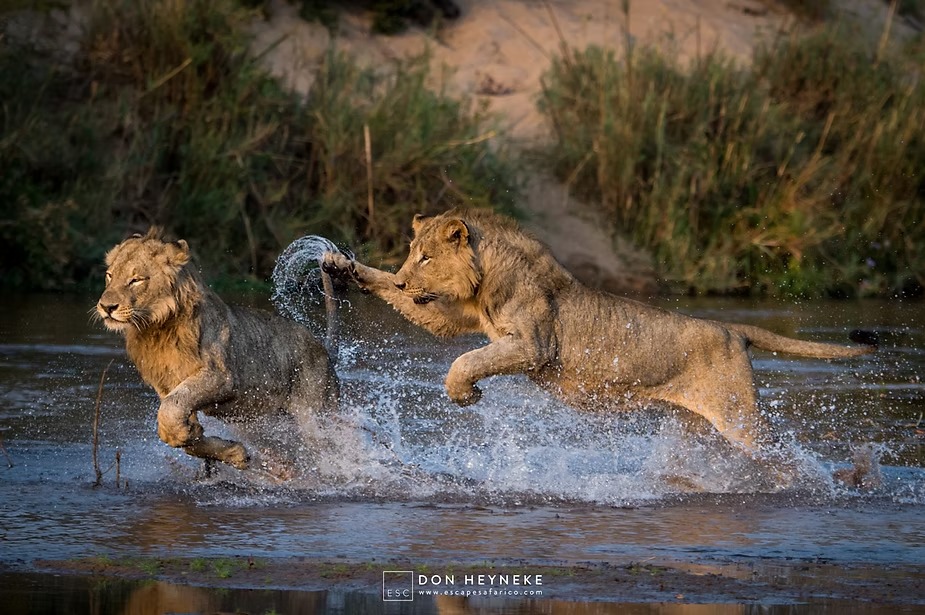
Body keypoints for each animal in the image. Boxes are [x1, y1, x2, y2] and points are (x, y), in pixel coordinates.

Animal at [96, 229, 339, 472]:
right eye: (109, 275)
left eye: (136, 280)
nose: (106, 307)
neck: (155, 329)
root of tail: (323, 348)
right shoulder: (168, 386)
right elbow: (185, 437)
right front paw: (229, 451)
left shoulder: (220, 377)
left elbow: (170, 409)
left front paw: (186, 433)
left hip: (314, 416)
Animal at [322, 209, 874, 464]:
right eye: (408, 255)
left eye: (426, 257)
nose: (404, 281)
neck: (486, 280)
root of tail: (730, 327)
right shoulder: (455, 318)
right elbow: (419, 315)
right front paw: (342, 265)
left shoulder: (533, 346)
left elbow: (467, 362)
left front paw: (465, 394)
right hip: (698, 426)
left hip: (740, 417)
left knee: (784, 457)